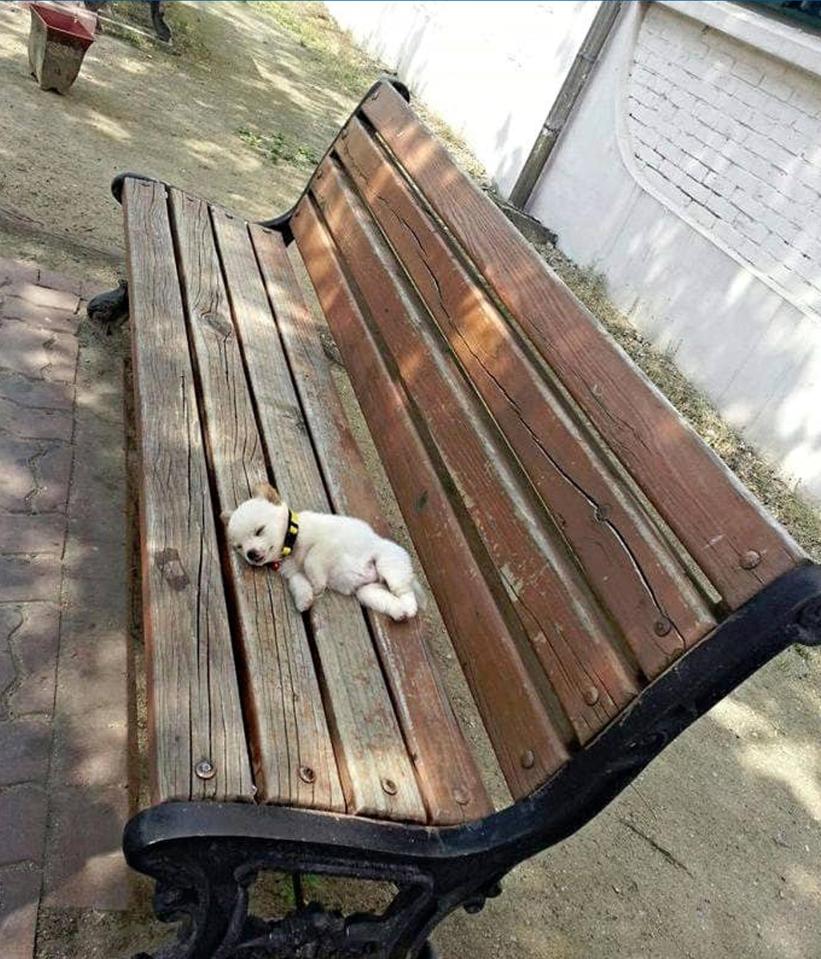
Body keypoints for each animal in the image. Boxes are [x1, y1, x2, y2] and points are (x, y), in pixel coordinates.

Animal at [226, 480, 422, 624]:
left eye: (259, 530)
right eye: (239, 547)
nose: (250, 554)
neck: (292, 543)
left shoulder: (325, 546)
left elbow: (310, 561)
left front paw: (318, 585)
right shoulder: (294, 573)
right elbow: (299, 583)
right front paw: (304, 599)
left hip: (388, 567)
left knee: (405, 591)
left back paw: (410, 607)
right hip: (366, 592)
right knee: (386, 598)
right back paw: (399, 611)